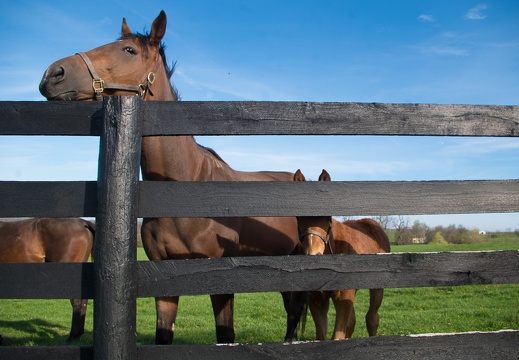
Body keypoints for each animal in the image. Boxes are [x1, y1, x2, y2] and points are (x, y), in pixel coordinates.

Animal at [39, 10, 304, 344]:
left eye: (129, 50)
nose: (53, 74)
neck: (184, 188)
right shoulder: (162, 275)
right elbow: (163, 335)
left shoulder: (220, 278)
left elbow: (225, 334)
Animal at [292, 169, 390, 340]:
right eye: (299, 217)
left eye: (327, 217)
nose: (313, 255)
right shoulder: (317, 300)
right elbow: (322, 336)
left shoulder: (343, 298)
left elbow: (337, 336)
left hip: (377, 287)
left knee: (372, 318)